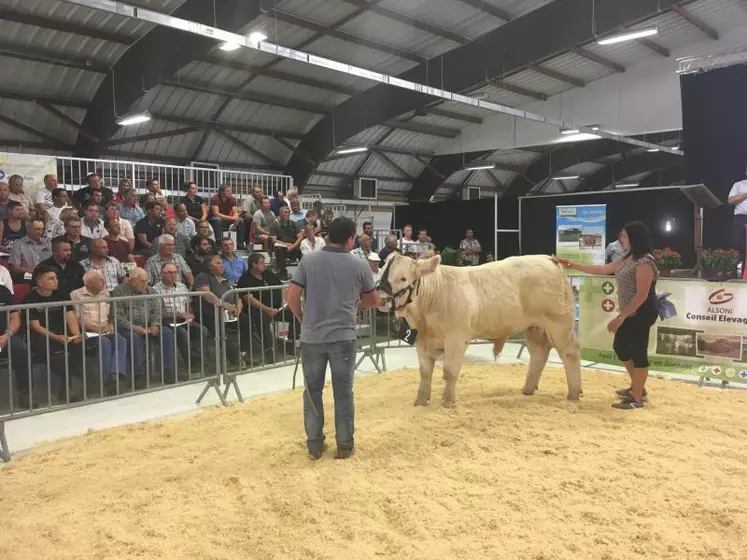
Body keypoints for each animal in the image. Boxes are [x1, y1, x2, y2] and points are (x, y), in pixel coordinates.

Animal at [376, 254, 580, 406]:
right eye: (380, 273)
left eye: (403, 278)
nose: (381, 299)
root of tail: (548, 258)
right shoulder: (421, 342)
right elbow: (425, 372)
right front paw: (420, 402)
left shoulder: (456, 339)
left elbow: (450, 371)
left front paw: (447, 402)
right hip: (533, 326)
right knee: (539, 351)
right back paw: (528, 389)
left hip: (559, 322)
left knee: (570, 352)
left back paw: (574, 393)